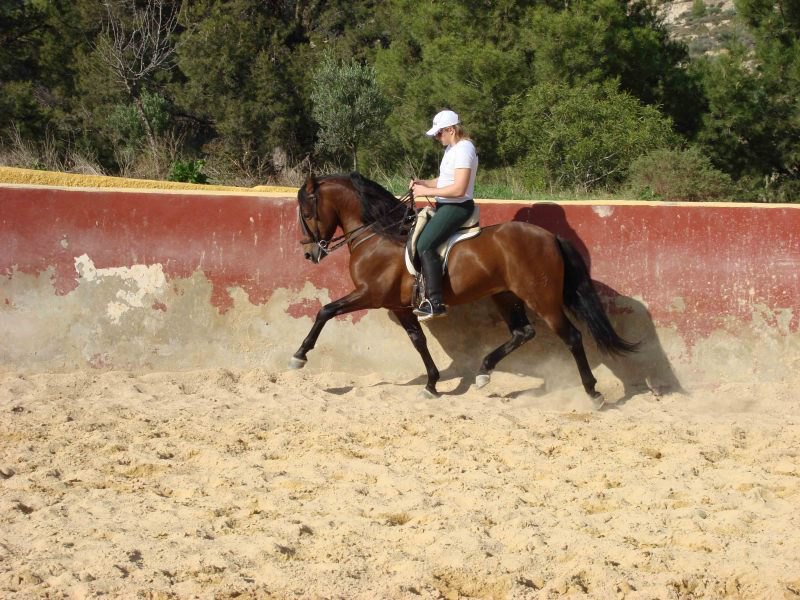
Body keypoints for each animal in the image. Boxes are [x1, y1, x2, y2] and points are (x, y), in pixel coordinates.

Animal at [290, 173, 636, 408]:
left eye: (307, 214)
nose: (308, 253)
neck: (377, 235)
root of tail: (550, 237)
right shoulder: (399, 307)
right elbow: (418, 341)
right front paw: (431, 384)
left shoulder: (370, 295)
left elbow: (325, 311)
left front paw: (299, 356)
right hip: (504, 295)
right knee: (523, 332)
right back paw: (484, 372)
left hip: (542, 298)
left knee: (572, 337)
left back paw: (593, 392)